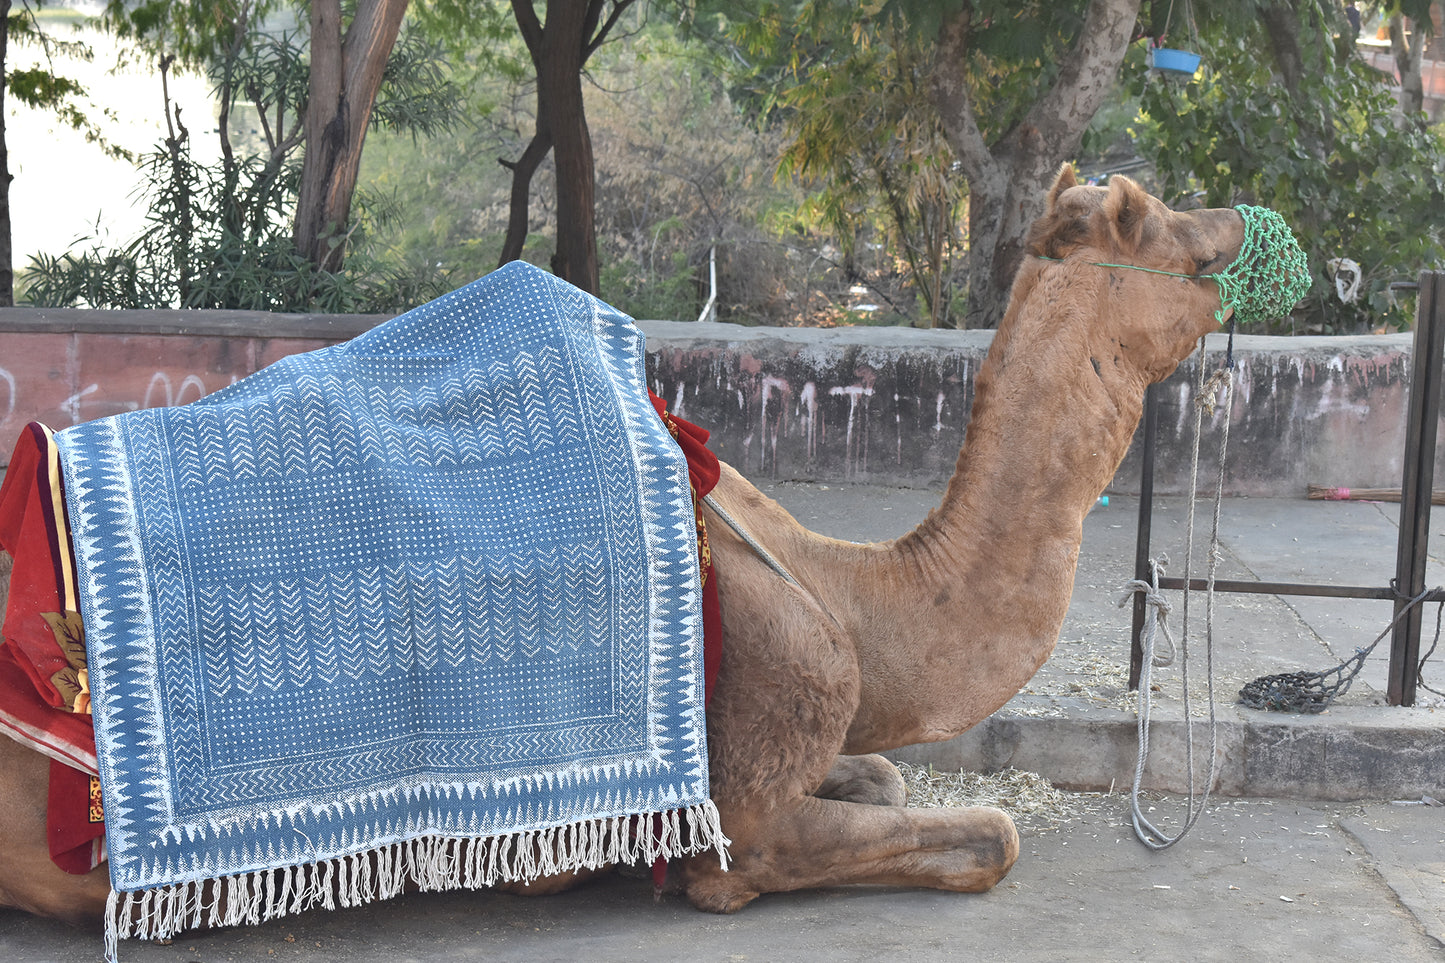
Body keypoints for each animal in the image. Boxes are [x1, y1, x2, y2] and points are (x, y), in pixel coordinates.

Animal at [0, 163, 1248, 925]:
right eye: (1154, 216)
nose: (1236, 218)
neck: (853, 601)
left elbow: (889, 773)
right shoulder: (751, 804)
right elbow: (985, 835)